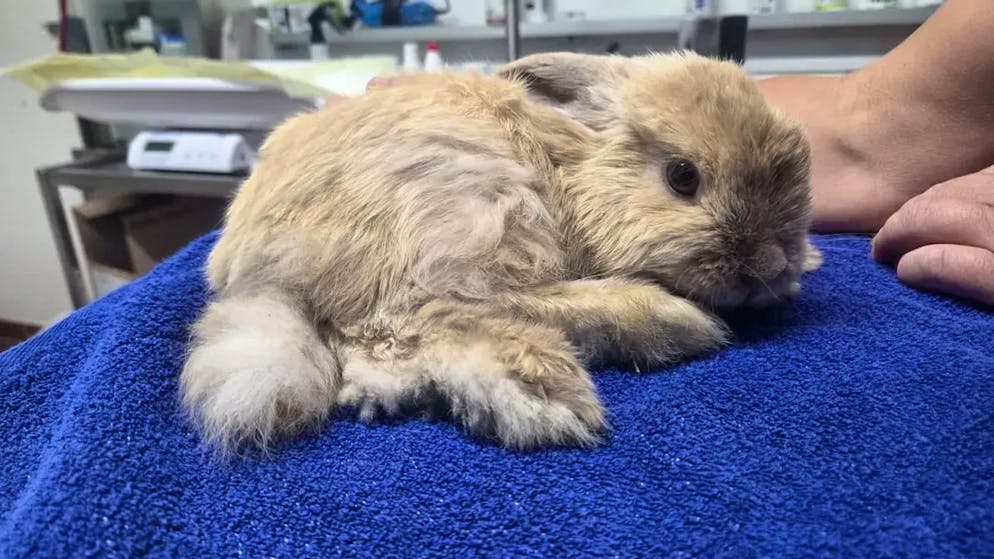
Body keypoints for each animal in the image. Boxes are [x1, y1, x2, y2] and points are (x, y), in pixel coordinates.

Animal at [180, 51, 820, 454]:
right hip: (478, 205)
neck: (571, 165)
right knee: (424, 319)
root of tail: (259, 275)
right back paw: (562, 381)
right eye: (683, 177)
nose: (769, 269)